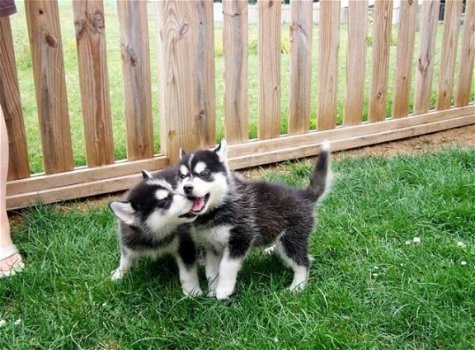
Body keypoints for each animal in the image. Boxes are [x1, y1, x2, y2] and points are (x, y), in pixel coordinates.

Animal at [109, 168, 203, 296]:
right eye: (164, 202)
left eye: (173, 189)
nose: (193, 197)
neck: (158, 233)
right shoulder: (128, 240)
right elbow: (126, 259)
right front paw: (119, 274)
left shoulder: (185, 243)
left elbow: (187, 273)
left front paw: (192, 291)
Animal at [178, 141, 330, 300]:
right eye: (182, 176)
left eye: (204, 174)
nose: (187, 187)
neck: (219, 207)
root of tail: (305, 196)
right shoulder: (211, 246)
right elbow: (211, 272)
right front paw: (212, 291)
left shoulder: (241, 237)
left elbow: (226, 266)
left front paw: (223, 291)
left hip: (291, 239)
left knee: (303, 262)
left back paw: (297, 287)